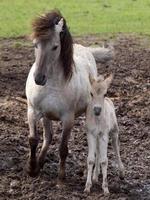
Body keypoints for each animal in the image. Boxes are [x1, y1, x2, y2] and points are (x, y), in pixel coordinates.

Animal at [25, 9, 113, 178]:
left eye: (55, 47)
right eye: (35, 44)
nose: (39, 78)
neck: (52, 84)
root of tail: (86, 49)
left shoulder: (68, 119)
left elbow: (63, 148)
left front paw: (61, 177)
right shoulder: (33, 111)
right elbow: (33, 139)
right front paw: (32, 169)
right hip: (46, 115)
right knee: (48, 137)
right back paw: (40, 162)